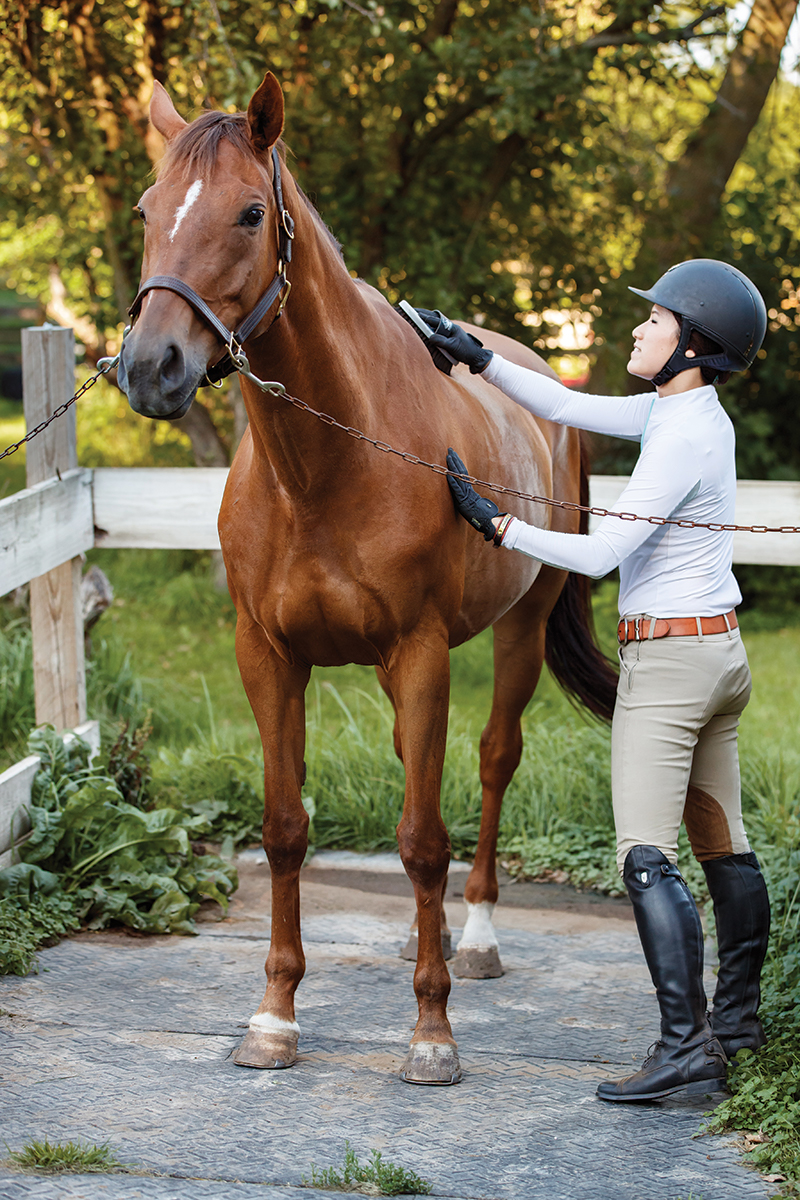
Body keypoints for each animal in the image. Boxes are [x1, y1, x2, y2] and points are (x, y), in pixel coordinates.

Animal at [118, 70, 618, 1084]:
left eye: (249, 212)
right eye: (148, 209)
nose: (151, 368)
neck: (329, 464)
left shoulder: (421, 654)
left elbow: (422, 842)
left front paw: (432, 1033)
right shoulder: (267, 658)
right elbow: (284, 831)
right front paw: (273, 1020)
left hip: (516, 629)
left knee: (493, 764)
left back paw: (476, 939)